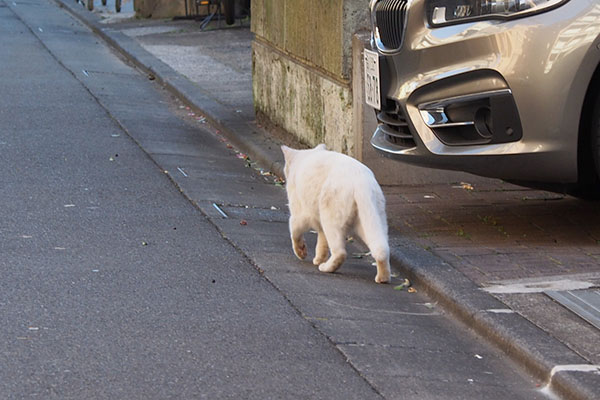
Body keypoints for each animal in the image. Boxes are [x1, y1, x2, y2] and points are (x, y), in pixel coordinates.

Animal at [282, 144, 392, 284]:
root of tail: (361, 182)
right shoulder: (318, 223)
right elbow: (322, 242)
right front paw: (319, 258)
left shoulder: (301, 213)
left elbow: (294, 231)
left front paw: (301, 252)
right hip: (371, 220)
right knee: (381, 248)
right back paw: (383, 277)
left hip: (331, 217)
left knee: (340, 252)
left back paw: (326, 268)